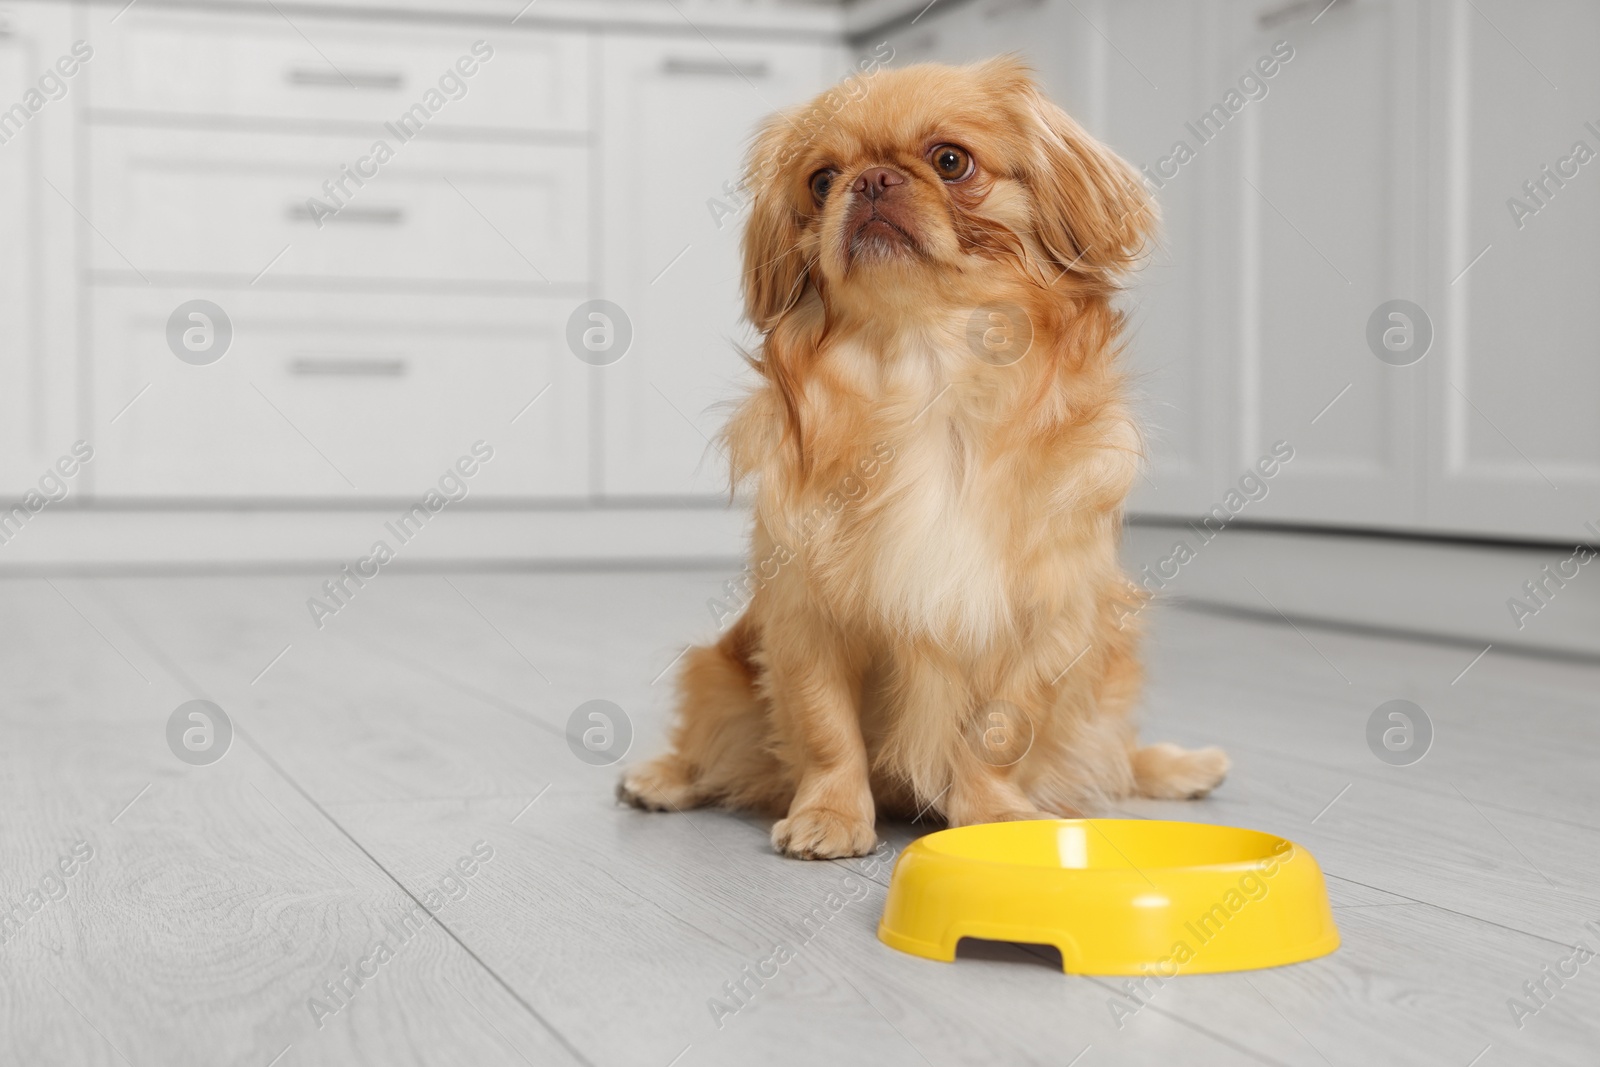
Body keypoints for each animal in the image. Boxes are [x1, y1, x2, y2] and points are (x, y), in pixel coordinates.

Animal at [611, 58, 1222, 857]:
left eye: (951, 161)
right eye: (821, 181)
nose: (870, 179)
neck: (926, 368)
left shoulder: (1042, 619)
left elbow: (999, 730)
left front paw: (992, 816)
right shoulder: (806, 614)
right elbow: (826, 728)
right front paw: (832, 816)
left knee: (1114, 754)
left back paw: (1180, 767)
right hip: (718, 671)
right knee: (714, 740)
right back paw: (663, 777)